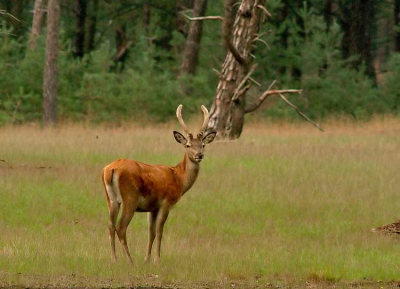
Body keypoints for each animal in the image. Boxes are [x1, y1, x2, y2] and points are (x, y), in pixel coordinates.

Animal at [101, 104, 217, 262]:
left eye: (203, 144)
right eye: (187, 145)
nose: (199, 155)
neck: (179, 179)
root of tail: (110, 169)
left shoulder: (152, 208)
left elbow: (151, 233)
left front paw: (147, 259)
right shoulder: (166, 202)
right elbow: (160, 231)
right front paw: (157, 259)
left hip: (111, 199)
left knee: (110, 225)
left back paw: (114, 259)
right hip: (130, 197)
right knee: (121, 227)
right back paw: (130, 260)